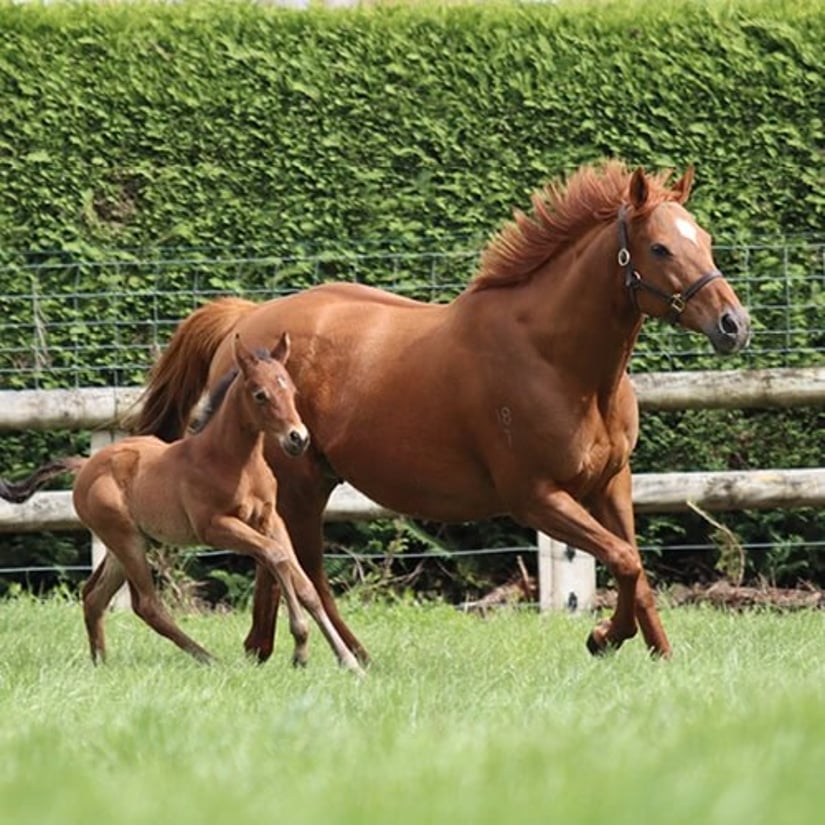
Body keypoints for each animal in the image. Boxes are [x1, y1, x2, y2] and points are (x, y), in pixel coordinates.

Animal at [0, 333, 364, 675]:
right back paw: (209, 659)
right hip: (126, 540)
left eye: (291, 389)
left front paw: (348, 661)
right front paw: (301, 648)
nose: (297, 438)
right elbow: (276, 558)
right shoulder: (216, 528)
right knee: (147, 605)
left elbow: (303, 582)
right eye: (260, 394)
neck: (234, 461)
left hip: (127, 543)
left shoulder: (270, 519)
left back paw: (100, 663)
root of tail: (86, 464)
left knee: (94, 597)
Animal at [132, 161, 751, 665]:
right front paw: (603, 638)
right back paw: (334, 652)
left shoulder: (611, 483)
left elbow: (635, 565)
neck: (557, 360)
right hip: (300, 483)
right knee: (300, 562)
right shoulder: (538, 498)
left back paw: (267, 647)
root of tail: (247, 320)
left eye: (706, 239)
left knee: (279, 559)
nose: (734, 325)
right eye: (660, 248)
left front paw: (657, 651)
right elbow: (623, 558)